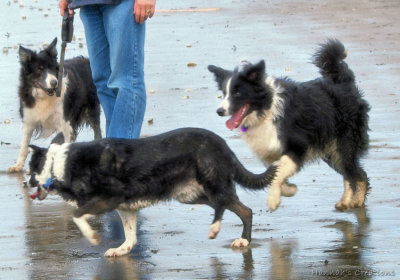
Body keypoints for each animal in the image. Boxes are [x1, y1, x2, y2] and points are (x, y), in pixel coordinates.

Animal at [8, 37, 102, 173]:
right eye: (39, 69)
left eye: (53, 68)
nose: (54, 83)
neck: (44, 96)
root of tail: (86, 60)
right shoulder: (28, 120)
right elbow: (24, 146)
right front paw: (18, 166)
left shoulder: (65, 123)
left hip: (92, 109)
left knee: (97, 130)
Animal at [27, 128, 276, 258]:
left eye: (30, 169)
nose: (25, 182)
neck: (59, 164)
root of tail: (222, 144)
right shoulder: (125, 207)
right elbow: (130, 235)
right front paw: (123, 249)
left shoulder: (109, 199)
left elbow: (77, 215)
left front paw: (92, 236)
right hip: (191, 194)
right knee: (237, 209)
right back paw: (237, 236)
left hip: (212, 186)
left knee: (234, 208)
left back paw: (225, 232)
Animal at [208, 38, 370, 210]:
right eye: (224, 93)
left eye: (237, 93)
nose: (219, 111)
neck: (265, 110)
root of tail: (342, 83)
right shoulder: (270, 151)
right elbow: (274, 171)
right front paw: (288, 189)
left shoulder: (297, 145)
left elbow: (280, 169)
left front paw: (274, 199)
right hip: (331, 150)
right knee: (349, 173)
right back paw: (345, 201)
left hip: (343, 144)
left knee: (358, 174)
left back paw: (357, 201)